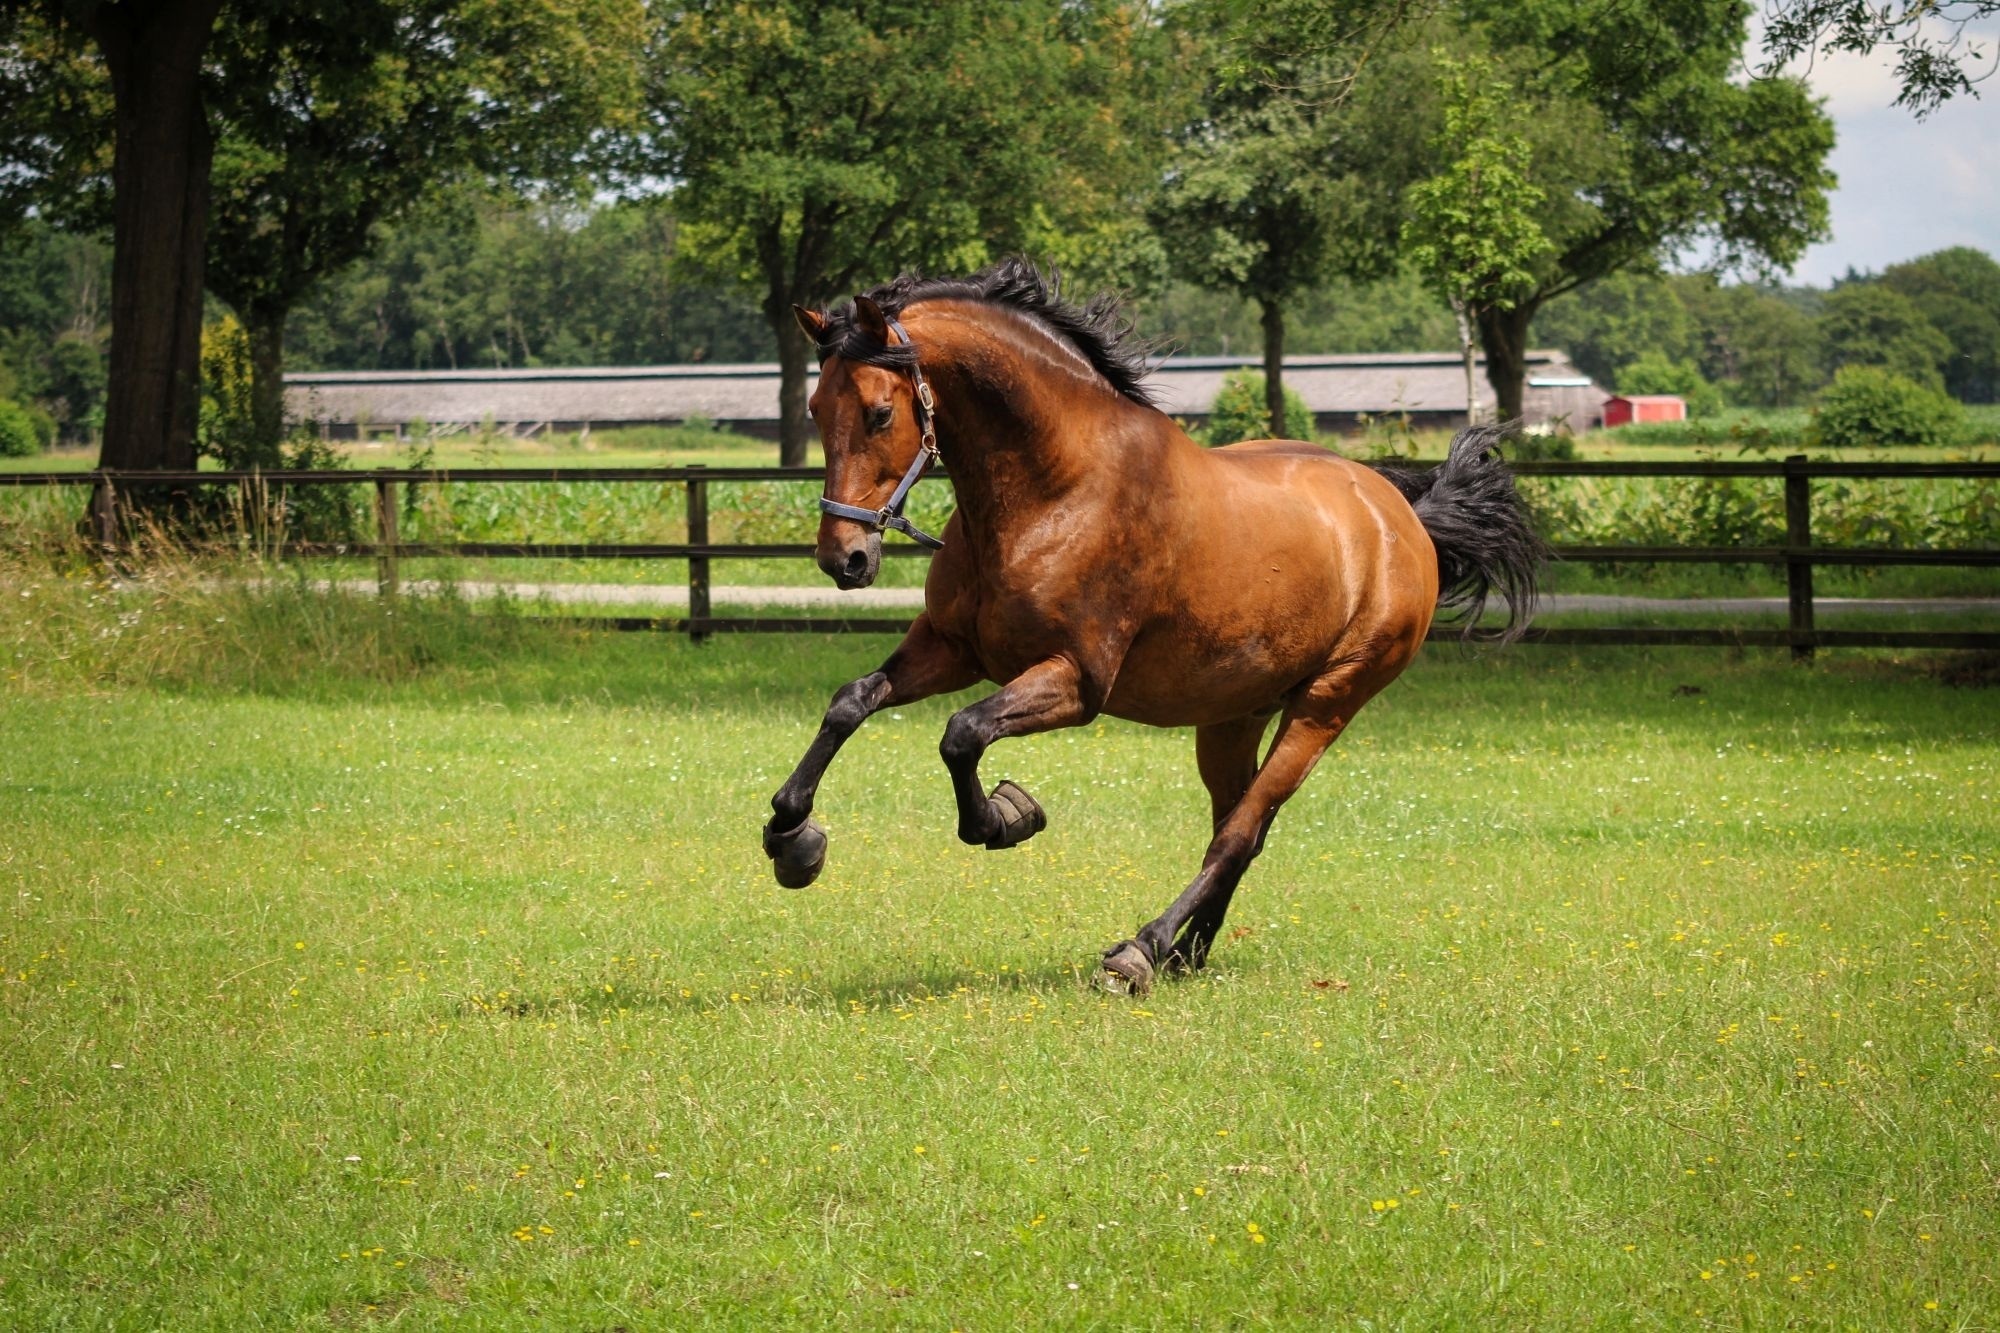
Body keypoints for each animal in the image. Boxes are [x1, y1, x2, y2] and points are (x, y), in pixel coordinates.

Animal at [762, 260, 1543, 996]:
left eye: (878, 413)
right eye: (815, 406)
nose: (844, 558)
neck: (1055, 491)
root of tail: (1400, 514)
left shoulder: (1076, 682)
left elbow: (963, 733)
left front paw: (1008, 816)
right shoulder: (954, 648)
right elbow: (852, 702)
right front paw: (792, 838)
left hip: (1327, 705)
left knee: (1239, 832)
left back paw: (1141, 949)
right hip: (1232, 715)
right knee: (1240, 827)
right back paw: (1186, 954)